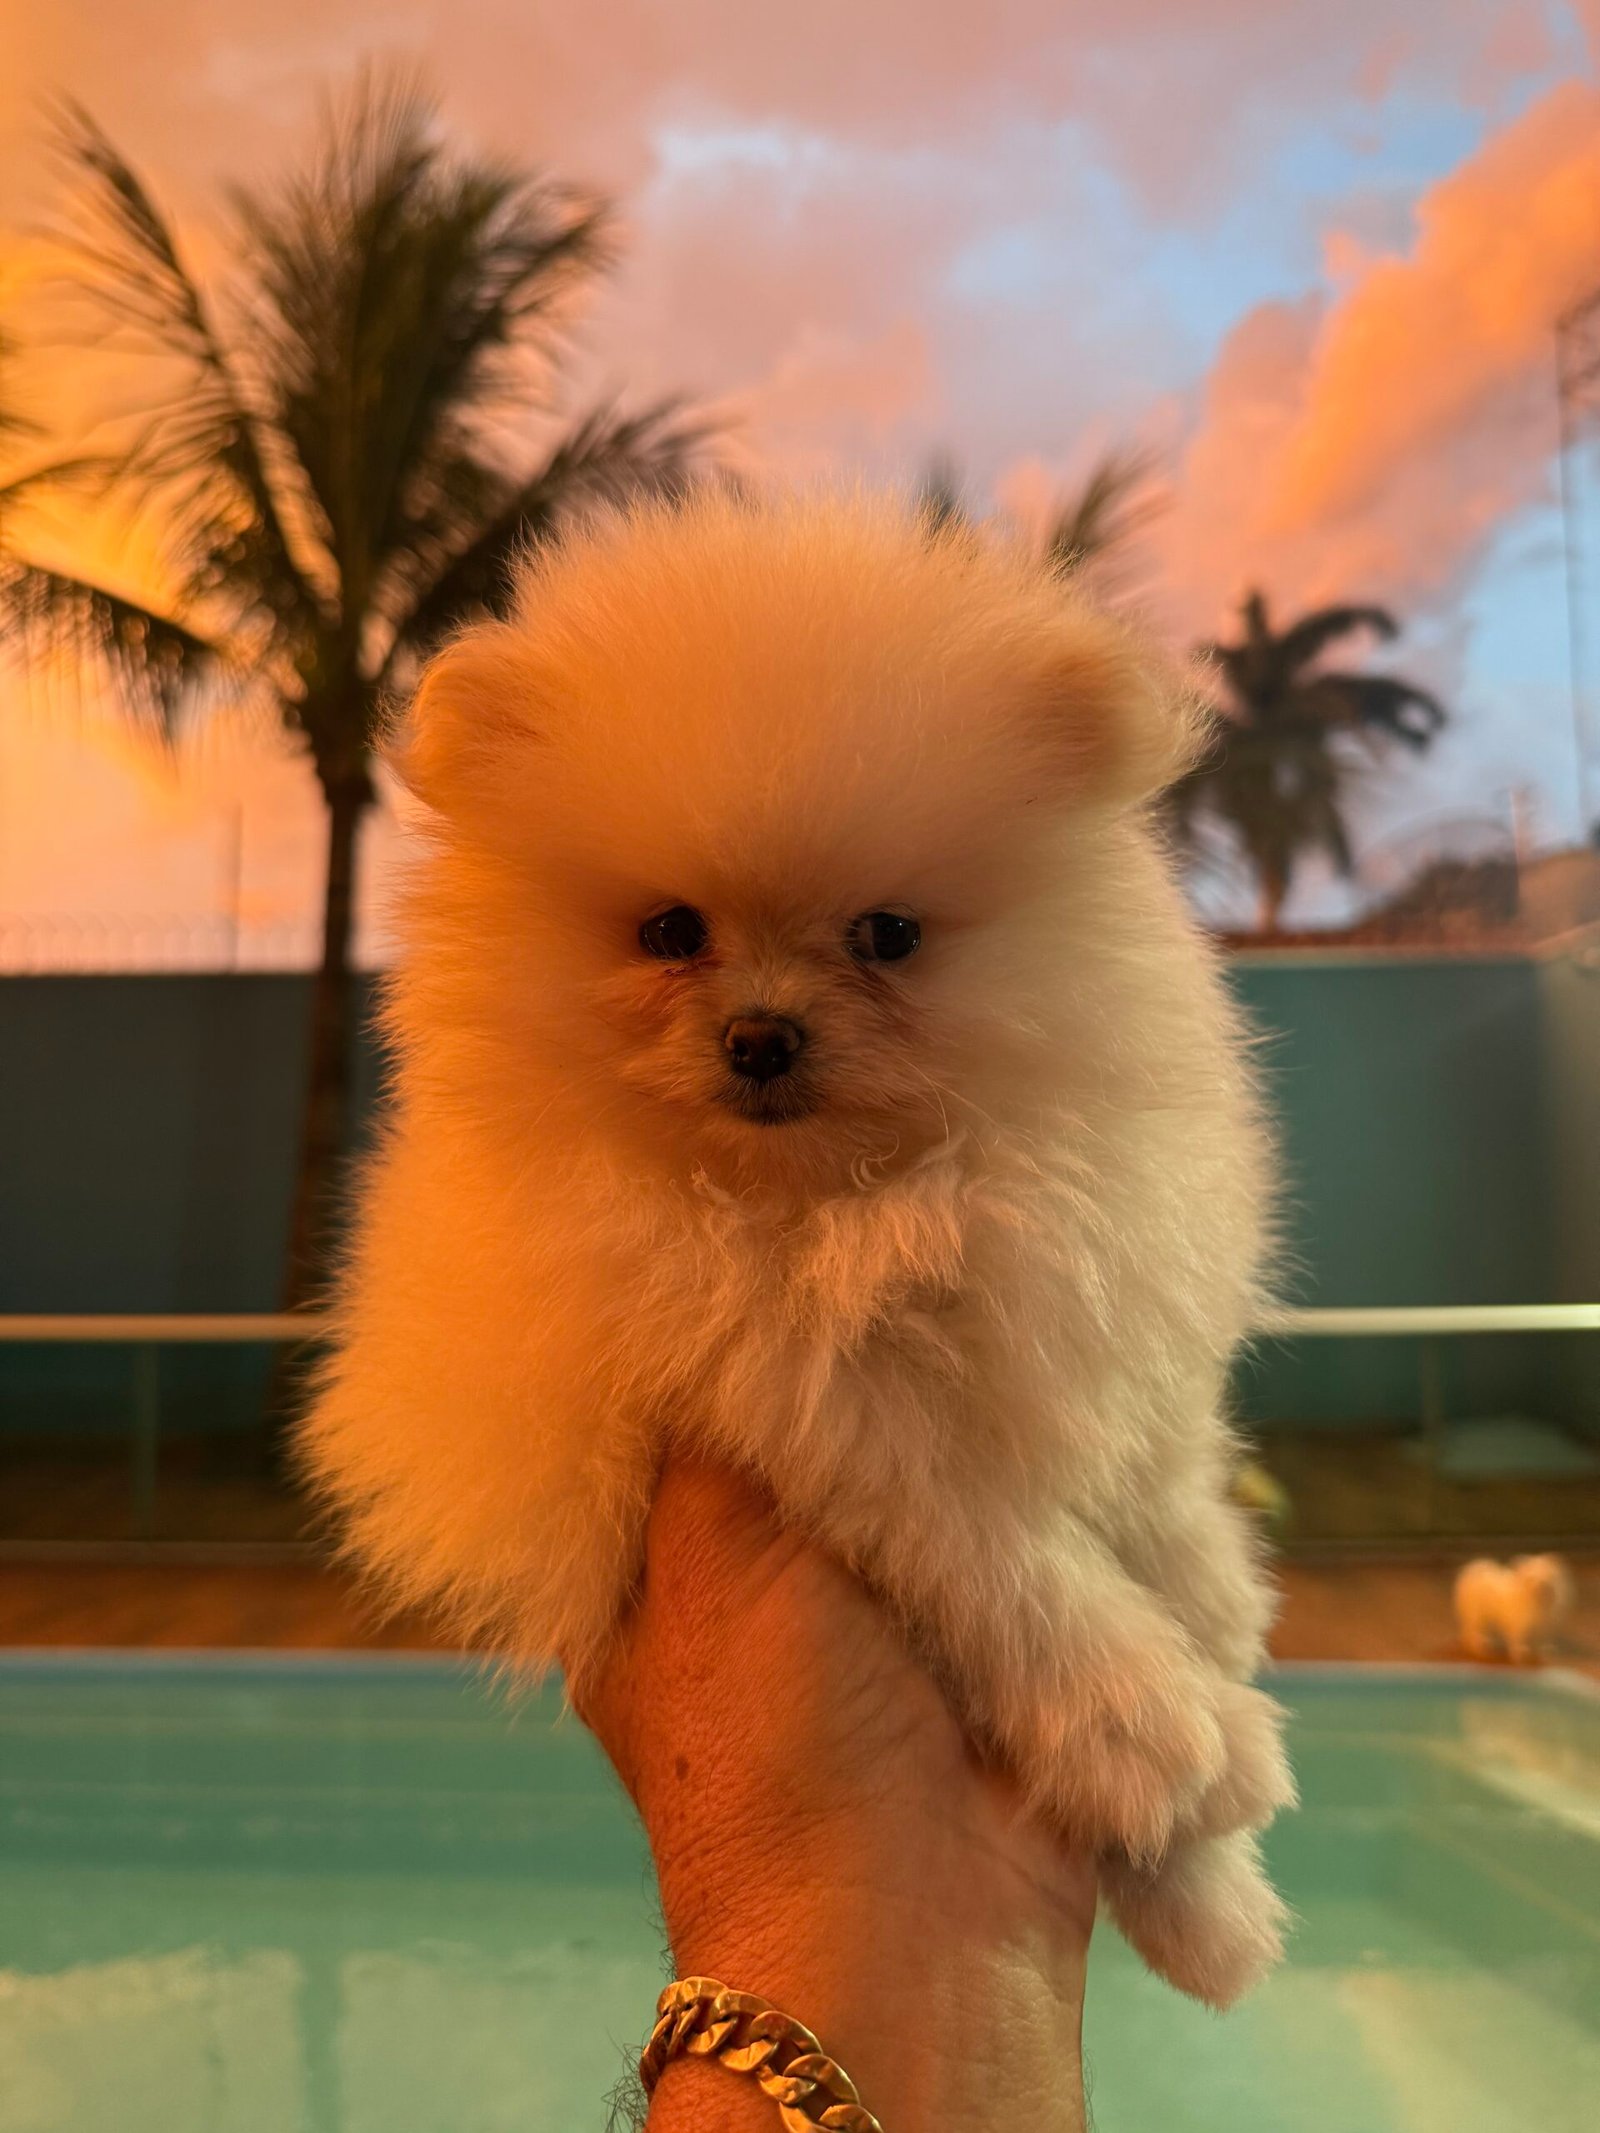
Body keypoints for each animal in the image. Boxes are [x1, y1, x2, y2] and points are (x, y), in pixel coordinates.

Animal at [302, 488, 1295, 2006]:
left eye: (887, 933)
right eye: (669, 930)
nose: (761, 1036)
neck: (846, 1199)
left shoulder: (1076, 1298)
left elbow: (1159, 1482)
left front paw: (1217, 1636)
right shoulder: (822, 1408)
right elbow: (1007, 1564)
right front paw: (1158, 1742)